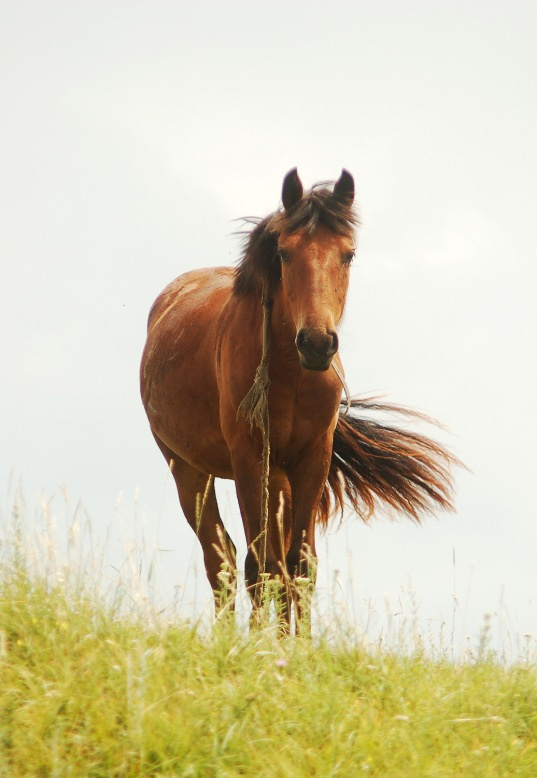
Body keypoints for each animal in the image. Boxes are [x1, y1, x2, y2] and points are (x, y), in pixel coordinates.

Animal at [140, 168, 457, 633]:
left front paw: (298, 644)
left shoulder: (312, 460)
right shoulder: (251, 459)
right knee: (222, 559)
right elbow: (260, 564)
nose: (317, 343)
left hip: (279, 481)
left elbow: (300, 565)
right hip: (188, 469)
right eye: (285, 254)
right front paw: (258, 643)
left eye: (348, 254)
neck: (291, 377)